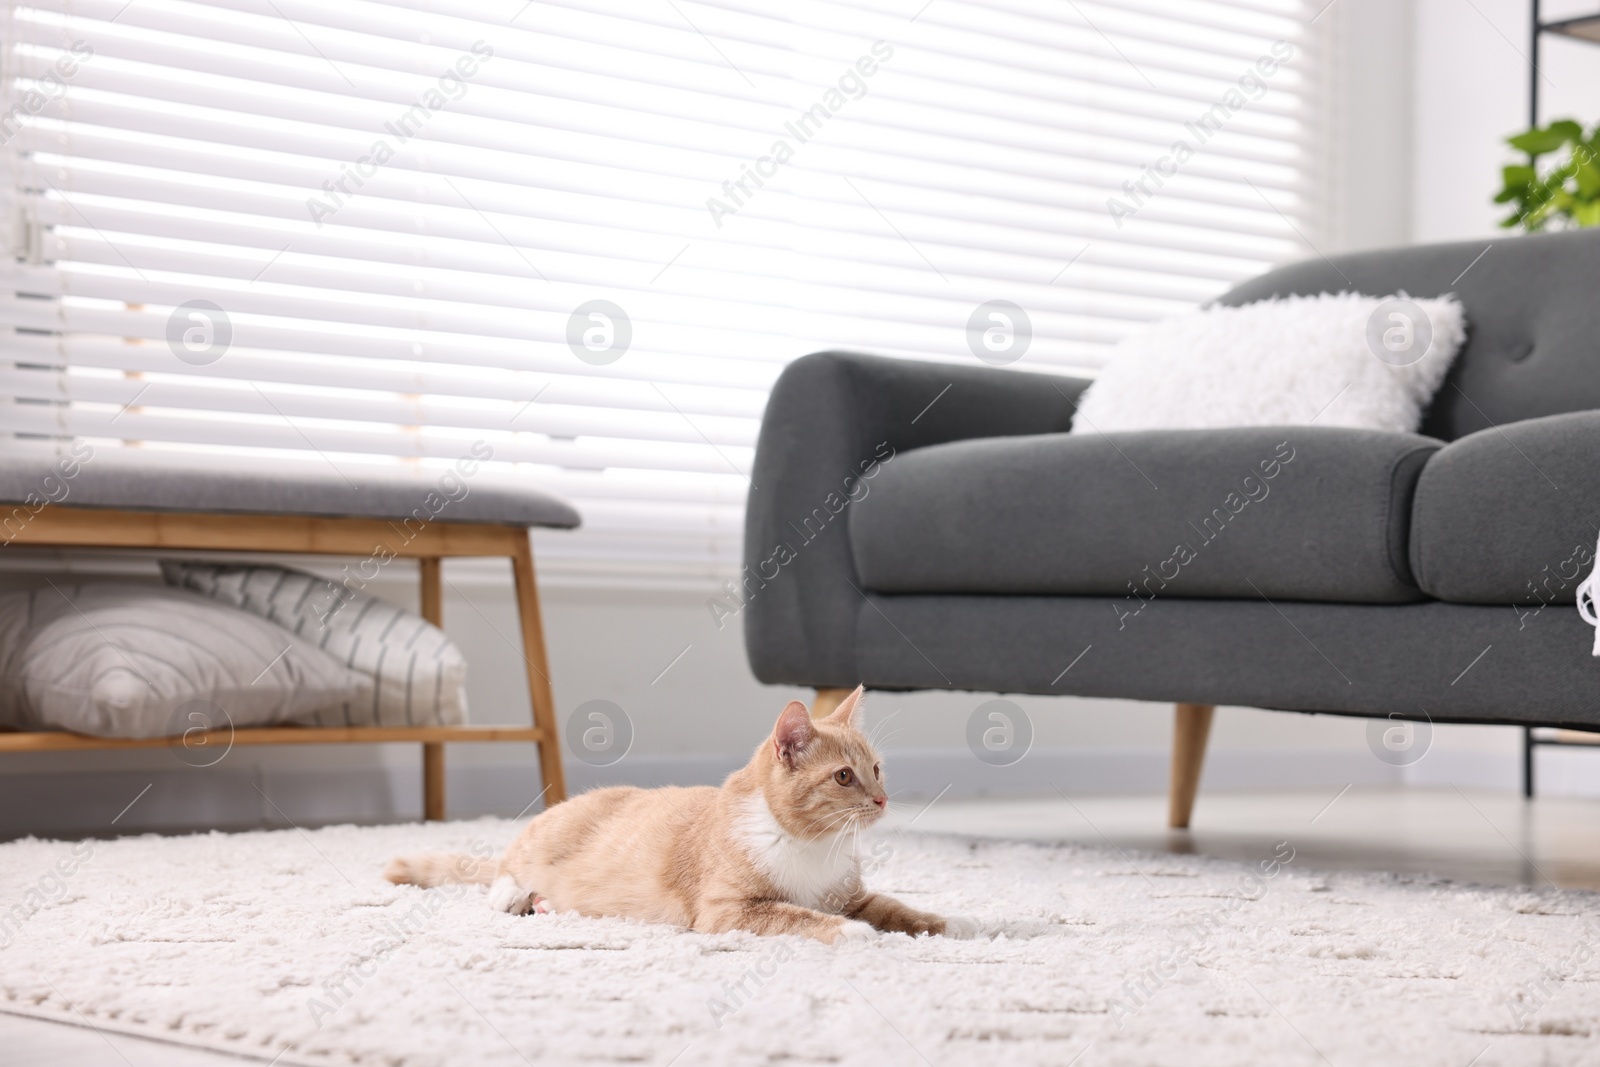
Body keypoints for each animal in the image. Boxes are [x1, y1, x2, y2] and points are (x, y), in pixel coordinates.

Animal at [390, 684, 972, 940]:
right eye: (844, 777)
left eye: (876, 769)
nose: (881, 799)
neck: (811, 845)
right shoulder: (728, 911)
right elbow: (797, 915)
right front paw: (851, 933)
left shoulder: (853, 895)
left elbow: (893, 907)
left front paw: (948, 921)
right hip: (538, 842)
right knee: (504, 869)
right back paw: (516, 896)